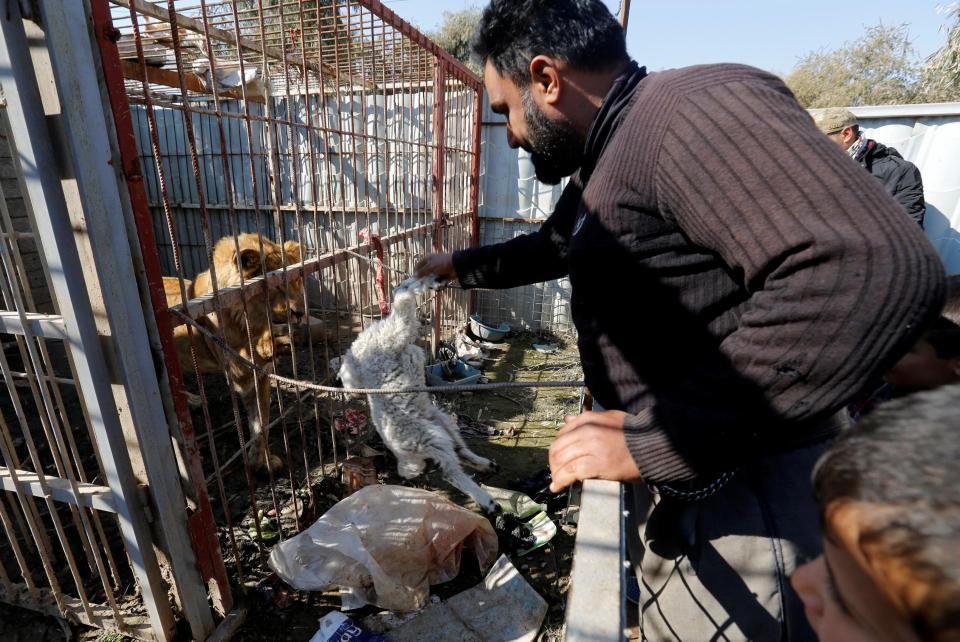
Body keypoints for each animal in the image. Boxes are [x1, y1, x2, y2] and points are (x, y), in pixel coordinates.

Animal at [165, 234, 306, 470]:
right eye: (276, 286)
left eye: (297, 282)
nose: (300, 314)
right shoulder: (241, 372)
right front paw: (274, 340)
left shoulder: (262, 376)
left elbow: (262, 422)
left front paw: (262, 461)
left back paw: (193, 400)